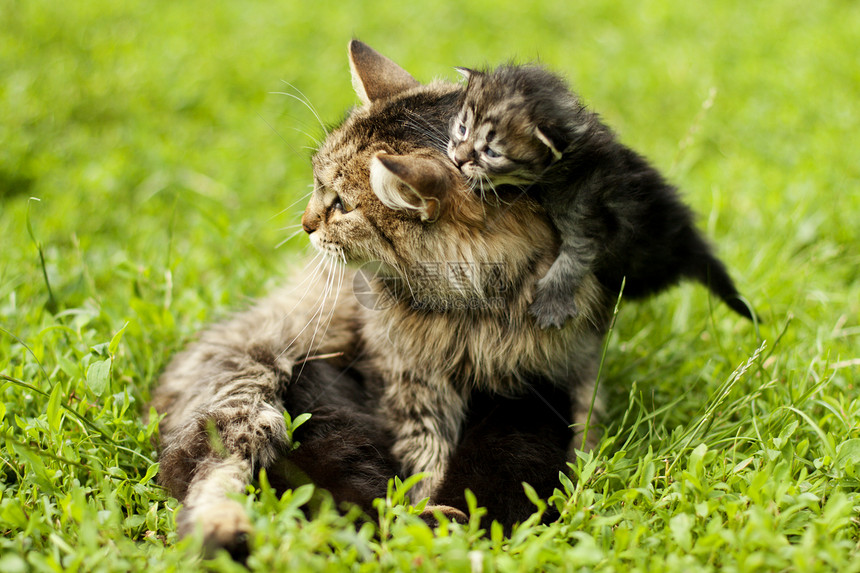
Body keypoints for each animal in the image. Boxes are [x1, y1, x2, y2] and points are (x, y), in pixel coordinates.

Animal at [446, 65, 756, 328]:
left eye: (492, 152)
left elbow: (575, 257)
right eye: (462, 128)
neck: (570, 160)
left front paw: (551, 305)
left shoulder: (590, 213)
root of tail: (688, 238)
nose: (458, 160)